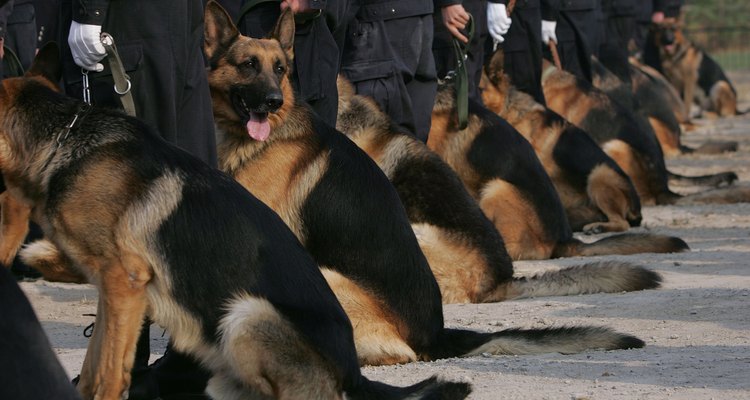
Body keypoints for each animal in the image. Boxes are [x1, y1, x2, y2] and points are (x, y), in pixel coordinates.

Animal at [0, 44, 476, 400]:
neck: (63, 136)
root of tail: (353, 375)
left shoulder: (125, 281)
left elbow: (108, 373)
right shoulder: (114, 292)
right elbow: (93, 363)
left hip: (247, 313)